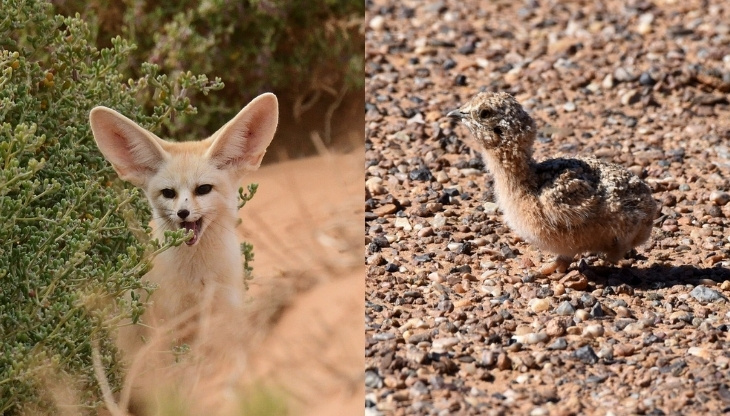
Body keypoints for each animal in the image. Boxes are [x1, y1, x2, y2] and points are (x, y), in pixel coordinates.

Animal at [89, 93, 278, 358]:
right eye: (169, 193)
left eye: (203, 189)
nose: (183, 213)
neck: (198, 275)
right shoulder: (167, 325)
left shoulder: (226, 313)